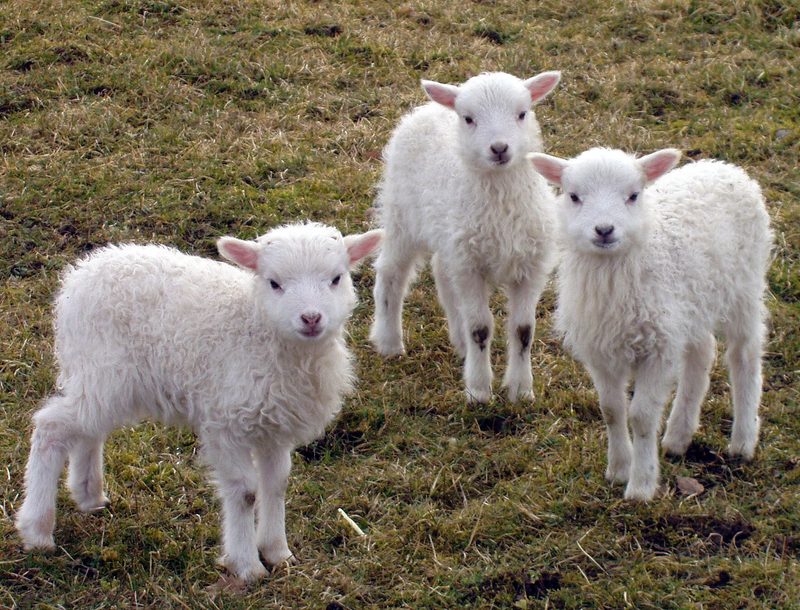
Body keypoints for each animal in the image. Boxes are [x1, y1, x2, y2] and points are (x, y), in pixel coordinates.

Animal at [15, 222, 383, 582]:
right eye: (274, 283)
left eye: (336, 278)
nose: (311, 318)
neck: (262, 331)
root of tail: (82, 273)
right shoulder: (227, 422)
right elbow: (246, 492)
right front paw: (247, 566)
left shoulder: (274, 424)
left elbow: (276, 485)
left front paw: (278, 552)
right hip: (104, 370)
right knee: (51, 426)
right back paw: (37, 529)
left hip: (101, 380)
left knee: (88, 430)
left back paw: (89, 495)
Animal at [369, 70, 561, 403]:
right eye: (469, 118)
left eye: (522, 114)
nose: (499, 148)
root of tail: (426, 109)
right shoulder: (472, 268)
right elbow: (480, 328)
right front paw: (479, 390)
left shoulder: (529, 266)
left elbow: (523, 330)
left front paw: (522, 390)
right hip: (402, 215)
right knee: (391, 272)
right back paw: (389, 341)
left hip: (452, 239)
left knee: (443, 276)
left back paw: (460, 344)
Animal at [529, 147, 773, 501]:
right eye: (574, 196)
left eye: (633, 195)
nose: (604, 230)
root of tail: (725, 169)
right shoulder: (602, 350)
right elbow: (612, 410)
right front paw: (618, 469)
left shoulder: (658, 349)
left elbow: (641, 417)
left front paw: (641, 485)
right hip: (690, 307)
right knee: (702, 354)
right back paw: (678, 437)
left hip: (744, 288)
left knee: (744, 358)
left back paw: (742, 441)